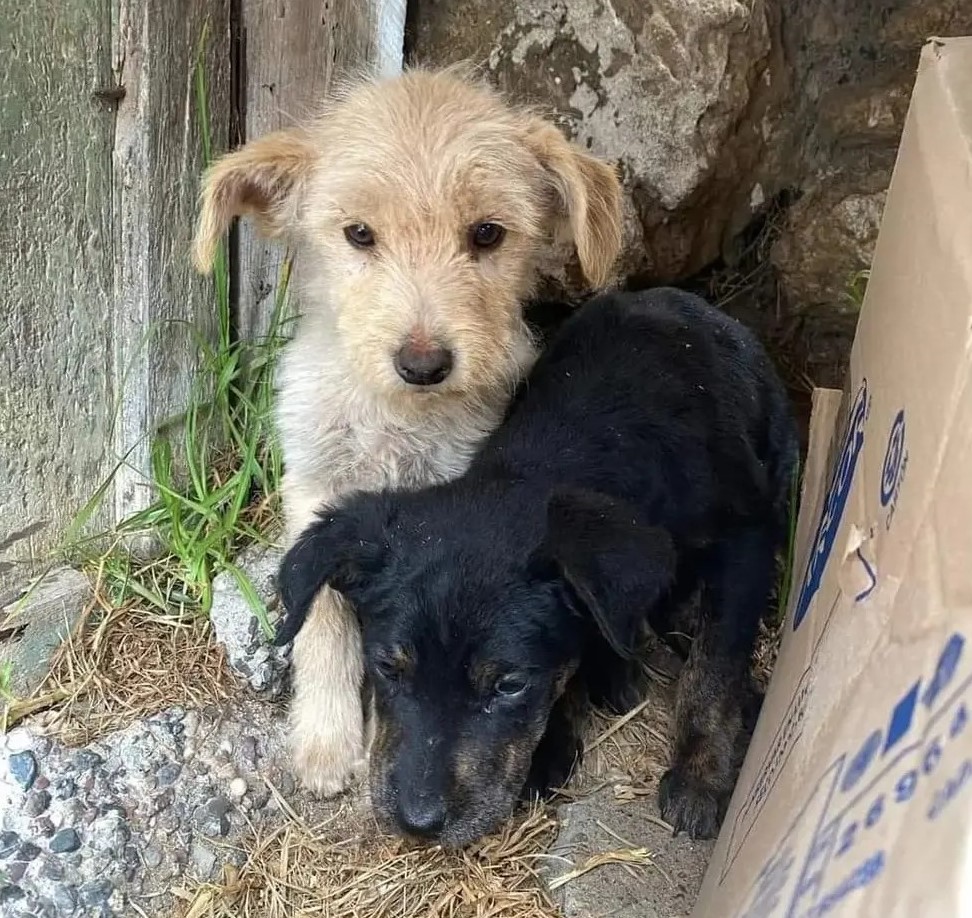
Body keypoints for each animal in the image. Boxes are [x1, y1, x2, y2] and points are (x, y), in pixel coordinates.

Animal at [195, 64, 624, 796]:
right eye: (359, 234)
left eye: (488, 234)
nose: (423, 363)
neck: (395, 416)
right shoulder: (315, 489)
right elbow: (323, 617)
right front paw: (328, 741)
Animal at [274, 288, 796, 848]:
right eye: (388, 667)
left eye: (510, 685)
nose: (418, 823)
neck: (586, 433)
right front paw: (554, 741)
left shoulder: (745, 538)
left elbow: (715, 664)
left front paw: (699, 774)